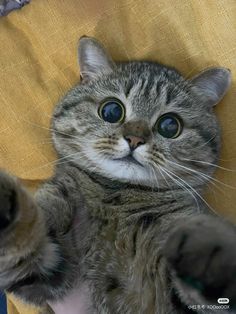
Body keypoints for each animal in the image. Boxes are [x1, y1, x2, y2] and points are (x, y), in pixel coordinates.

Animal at [0, 35, 236, 312]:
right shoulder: (47, 273)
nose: (134, 139)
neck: (115, 196)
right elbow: (26, 248)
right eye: (111, 110)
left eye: (170, 125)